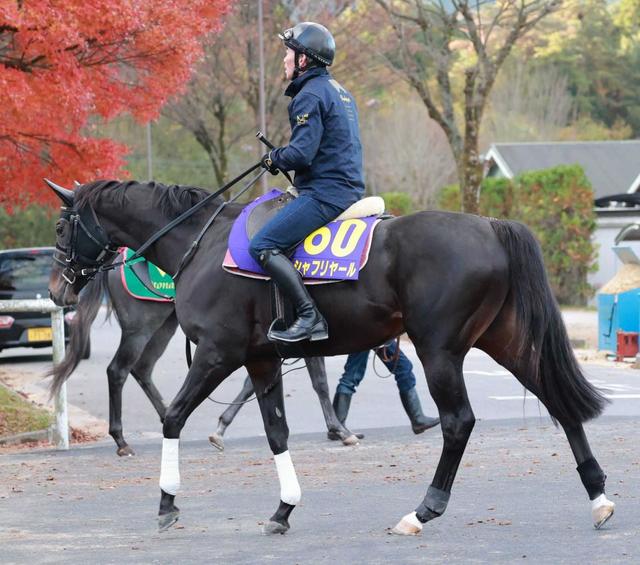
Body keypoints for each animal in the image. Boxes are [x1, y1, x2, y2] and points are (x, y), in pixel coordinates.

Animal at [53, 264, 360, 454]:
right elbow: (320, 383)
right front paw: (340, 430)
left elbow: (251, 385)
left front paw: (221, 427)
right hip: (141, 327)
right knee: (118, 370)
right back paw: (121, 440)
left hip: (165, 326)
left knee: (142, 369)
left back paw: (167, 415)